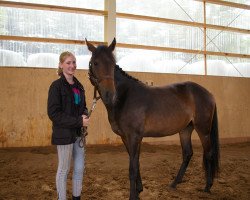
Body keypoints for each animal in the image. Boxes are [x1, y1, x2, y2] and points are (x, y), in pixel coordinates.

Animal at [85, 38, 219, 199]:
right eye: (95, 63)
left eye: (112, 63)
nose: (109, 94)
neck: (125, 97)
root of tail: (209, 94)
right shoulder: (126, 138)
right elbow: (136, 163)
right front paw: (138, 189)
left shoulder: (134, 137)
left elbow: (132, 167)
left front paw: (133, 195)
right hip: (185, 130)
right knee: (188, 154)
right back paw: (174, 183)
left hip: (203, 130)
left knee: (209, 153)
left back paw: (207, 186)